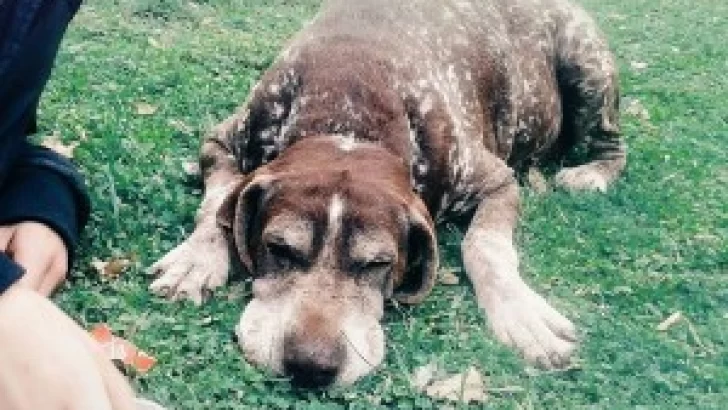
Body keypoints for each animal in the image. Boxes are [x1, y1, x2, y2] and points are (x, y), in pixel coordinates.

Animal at [148, 0, 624, 388]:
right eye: (278, 248)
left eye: (378, 264)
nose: (310, 366)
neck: (349, 119)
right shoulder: (223, 140)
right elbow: (217, 205)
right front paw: (196, 259)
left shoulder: (496, 180)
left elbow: (485, 246)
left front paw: (518, 308)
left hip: (586, 64)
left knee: (613, 142)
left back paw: (592, 174)